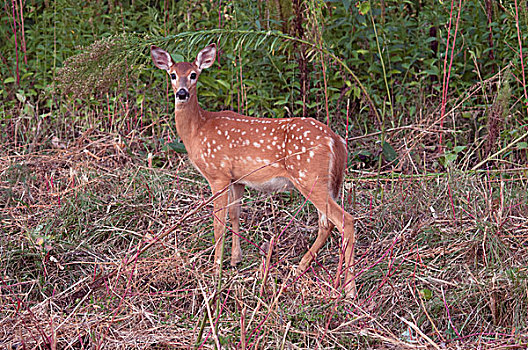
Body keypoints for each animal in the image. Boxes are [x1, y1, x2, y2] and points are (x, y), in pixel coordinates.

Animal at [151, 42, 356, 296]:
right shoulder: (237, 179)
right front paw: (234, 260)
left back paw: (349, 289)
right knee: (326, 224)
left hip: (309, 177)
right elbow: (235, 214)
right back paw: (301, 268)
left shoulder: (217, 175)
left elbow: (218, 223)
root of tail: (335, 140)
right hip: (323, 182)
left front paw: (216, 269)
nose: (181, 93)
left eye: (193, 75)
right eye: (172, 74)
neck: (198, 129)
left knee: (344, 221)